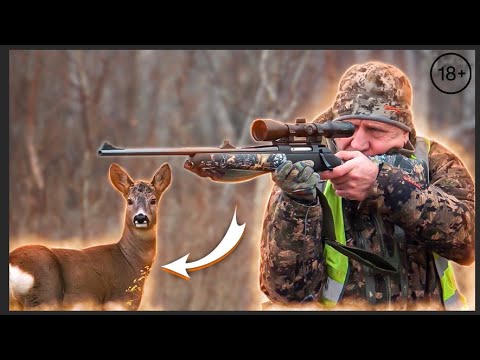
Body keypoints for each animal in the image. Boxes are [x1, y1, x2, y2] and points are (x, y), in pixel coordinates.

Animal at [9, 163, 172, 310]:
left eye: (153, 200)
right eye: (129, 200)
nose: (140, 218)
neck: (129, 261)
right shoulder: (118, 300)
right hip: (44, 295)